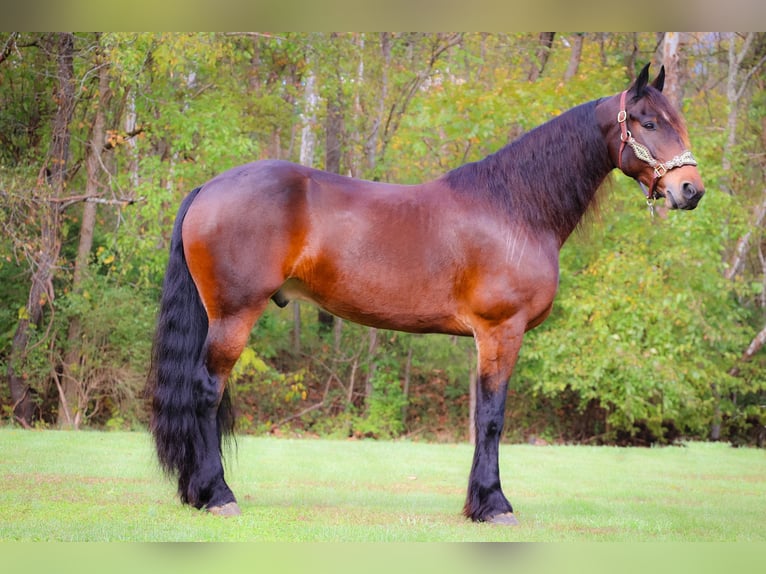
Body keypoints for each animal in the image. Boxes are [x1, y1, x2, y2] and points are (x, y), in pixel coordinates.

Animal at [147, 65, 704, 524]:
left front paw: (478, 503)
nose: (691, 190)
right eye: (647, 122)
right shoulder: (502, 331)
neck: (515, 208)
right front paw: (495, 506)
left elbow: (481, 418)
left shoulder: (485, 338)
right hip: (234, 315)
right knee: (205, 392)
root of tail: (208, 188)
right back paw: (217, 495)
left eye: (676, 119)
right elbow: (494, 419)